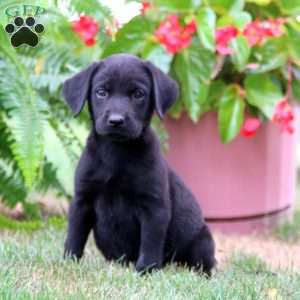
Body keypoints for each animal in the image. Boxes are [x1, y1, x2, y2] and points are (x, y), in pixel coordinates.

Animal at [62, 53, 216, 274]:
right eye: (101, 92)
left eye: (138, 94)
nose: (116, 121)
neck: (116, 153)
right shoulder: (82, 200)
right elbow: (74, 235)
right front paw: (69, 262)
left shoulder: (154, 207)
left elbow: (150, 242)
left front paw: (146, 270)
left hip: (202, 241)